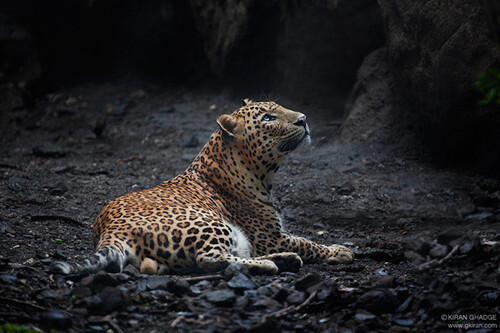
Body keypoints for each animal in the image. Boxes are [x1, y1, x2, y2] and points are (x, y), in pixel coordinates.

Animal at [50, 99, 354, 274]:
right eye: (268, 118)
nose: (304, 118)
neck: (261, 175)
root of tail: (108, 230)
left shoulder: (271, 238)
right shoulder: (270, 236)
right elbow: (306, 242)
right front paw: (339, 251)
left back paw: (285, 260)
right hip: (210, 222)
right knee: (210, 258)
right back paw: (273, 264)